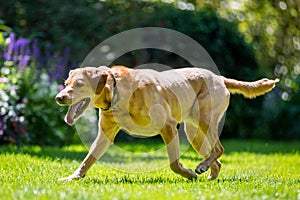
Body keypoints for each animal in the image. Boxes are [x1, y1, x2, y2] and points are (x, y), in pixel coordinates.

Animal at [55, 66, 276, 181]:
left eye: (79, 84)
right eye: (66, 84)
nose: (59, 97)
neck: (117, 91)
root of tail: (220, 77)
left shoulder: (168, 126)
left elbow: (174, 164)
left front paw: (188, 173)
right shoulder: (105, 134)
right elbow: (88, 159)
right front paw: (73, 177)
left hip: (204, 121)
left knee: (219, 149)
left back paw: (201, 168)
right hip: (193, 132)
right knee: (217, 157)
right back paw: (210, 176)